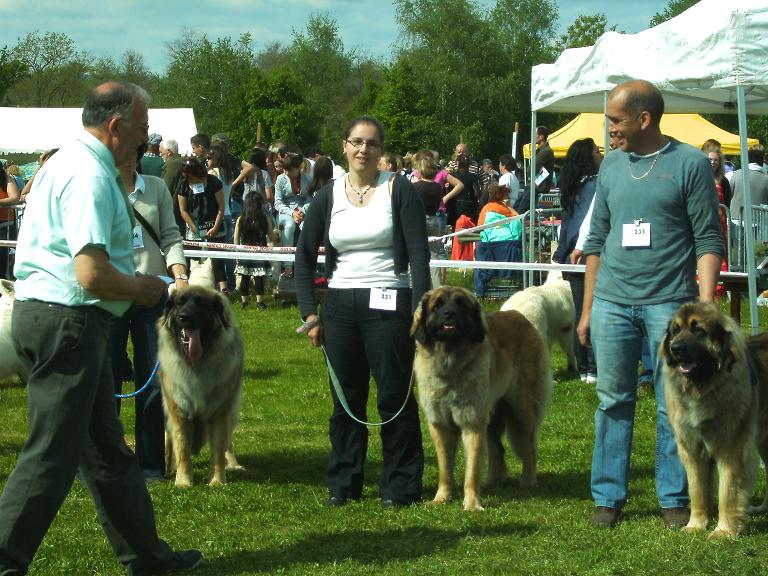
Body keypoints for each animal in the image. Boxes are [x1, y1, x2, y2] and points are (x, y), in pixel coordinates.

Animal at [154, 284, 242, 486]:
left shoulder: (220, 412)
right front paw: (183, 482)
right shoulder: (178, 411)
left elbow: (218, 451)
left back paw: (233, 464)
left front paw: (217, 481)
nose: (183, 317)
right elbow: (182, 450)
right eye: (179, 303)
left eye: (201, 304)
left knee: (228, 442)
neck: (196, 364)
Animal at [414, 286, 552, 510]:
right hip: (492, 415)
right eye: (438, 305)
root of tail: (521, 317)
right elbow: (445, 468)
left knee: (530, 447)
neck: (450, 363)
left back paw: (528, 480)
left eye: (461, 304)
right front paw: (441, 498)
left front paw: (471, 504)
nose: (449, 314)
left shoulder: (472, 422)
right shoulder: (439, 425)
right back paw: (494, 480)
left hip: (522, 410)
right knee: (498, 450)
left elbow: (472, 469)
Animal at [660, 302, 768, 540]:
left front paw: (724, 530)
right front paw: (695, 525)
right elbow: (697, 491)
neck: (703, 387)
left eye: (698, 330)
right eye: (675, 330)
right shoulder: (691, 449)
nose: (676, 348)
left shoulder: (730, 448)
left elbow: (727, 492)